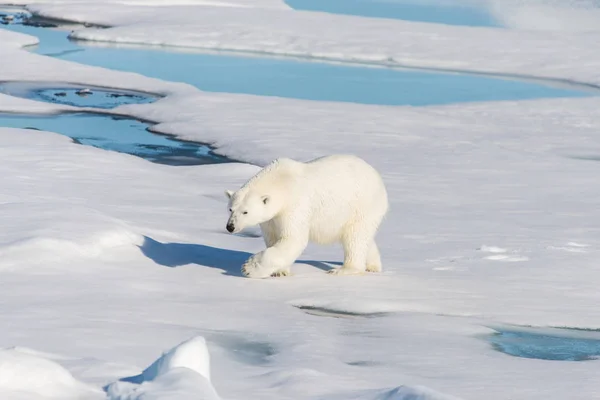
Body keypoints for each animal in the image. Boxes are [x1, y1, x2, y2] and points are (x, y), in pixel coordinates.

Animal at [225, 154, 390, 278]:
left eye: (245, 211)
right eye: (230, 209)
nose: (230, 227)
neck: (282, 182)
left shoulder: (295, 205)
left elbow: (293, 239)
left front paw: (248, 268)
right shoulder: (271, 219)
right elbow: (273, 238)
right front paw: (280, 271)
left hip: (362, 205)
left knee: (355, 237)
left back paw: (343, 269)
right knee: (363, 238)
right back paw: (372, 266)